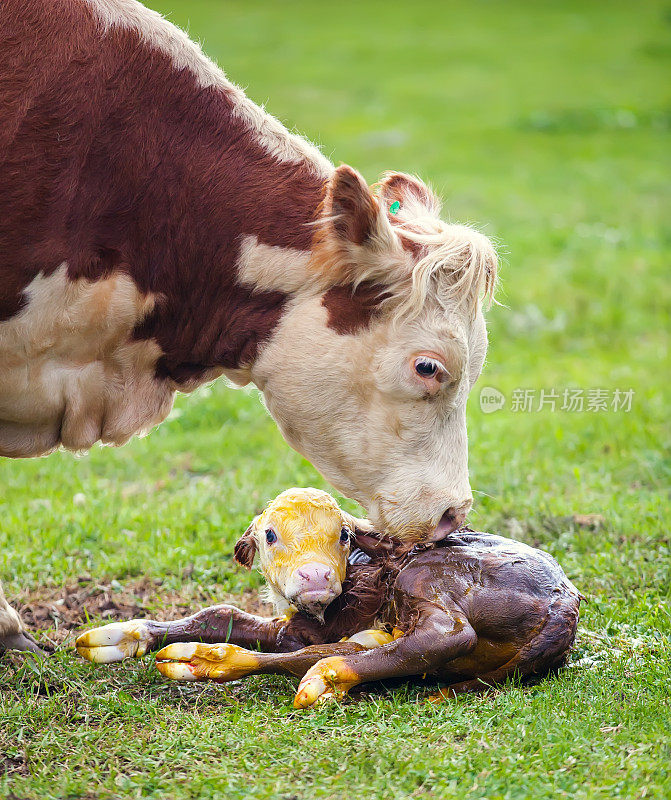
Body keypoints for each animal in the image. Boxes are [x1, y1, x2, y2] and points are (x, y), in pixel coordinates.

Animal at [75, 488, 584, 708]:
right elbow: (221, 612)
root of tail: (565, 602)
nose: (316, 575)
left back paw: (208, 661)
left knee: (444, 634)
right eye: (270, 535)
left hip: (427, 576)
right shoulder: (294, 627)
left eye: (342, 534)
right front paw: (125, 634)